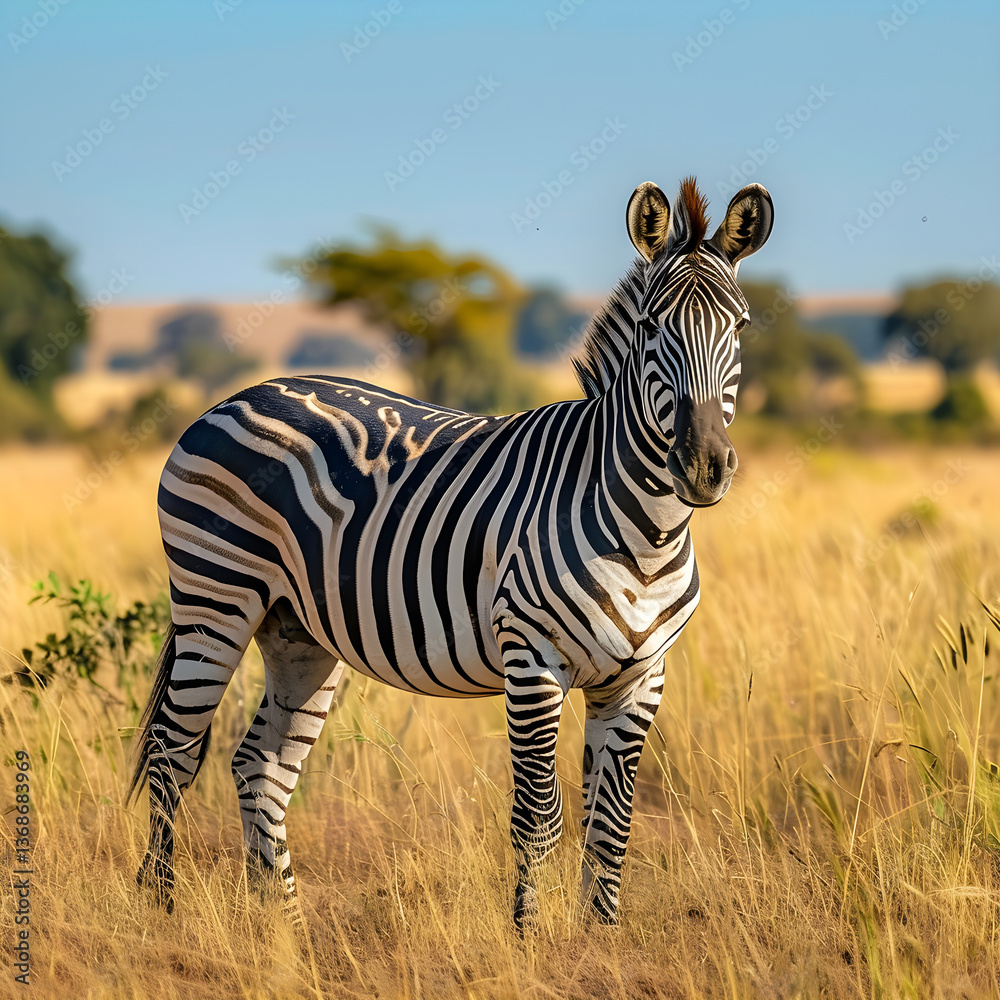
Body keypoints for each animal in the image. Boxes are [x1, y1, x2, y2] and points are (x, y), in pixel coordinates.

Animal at [128, 176, 773, 926]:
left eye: (742, 327)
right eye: (649, 328)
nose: (703, 466)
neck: (649, 529)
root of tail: (238, 395)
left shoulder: (642, 677)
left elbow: (611, 824)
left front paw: (601, 937)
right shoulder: (532, 659)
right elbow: (539, 816)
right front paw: (528, 936)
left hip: (299, 631)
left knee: (260, 767)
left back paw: (283, 927)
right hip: (215, 597)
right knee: (172, 754)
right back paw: (164, 912)